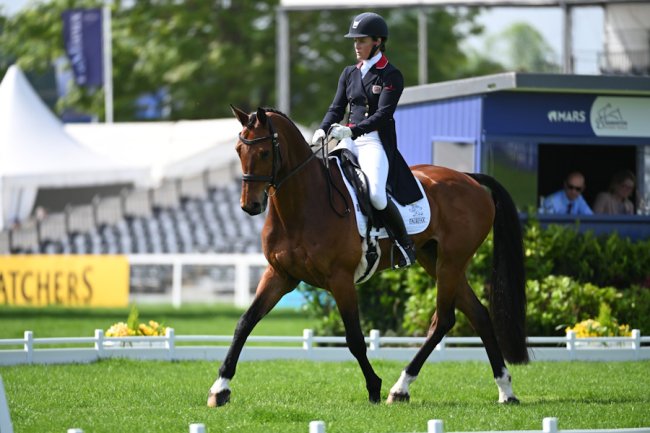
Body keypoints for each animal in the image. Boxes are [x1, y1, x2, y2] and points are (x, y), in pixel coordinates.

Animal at [207, 106, 528, 407]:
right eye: (238, 151)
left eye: (263, 152)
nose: (250, 205)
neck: (303, 205)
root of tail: (469, 178)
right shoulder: (280, 275)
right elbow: (245, 323)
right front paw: (220, 388)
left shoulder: (340, 279)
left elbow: (354, 338)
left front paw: (374, 386)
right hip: (436, 260)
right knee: (479, 315)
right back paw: (505, 390)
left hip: (451, 262)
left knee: (444, 320)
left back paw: (400, 388)